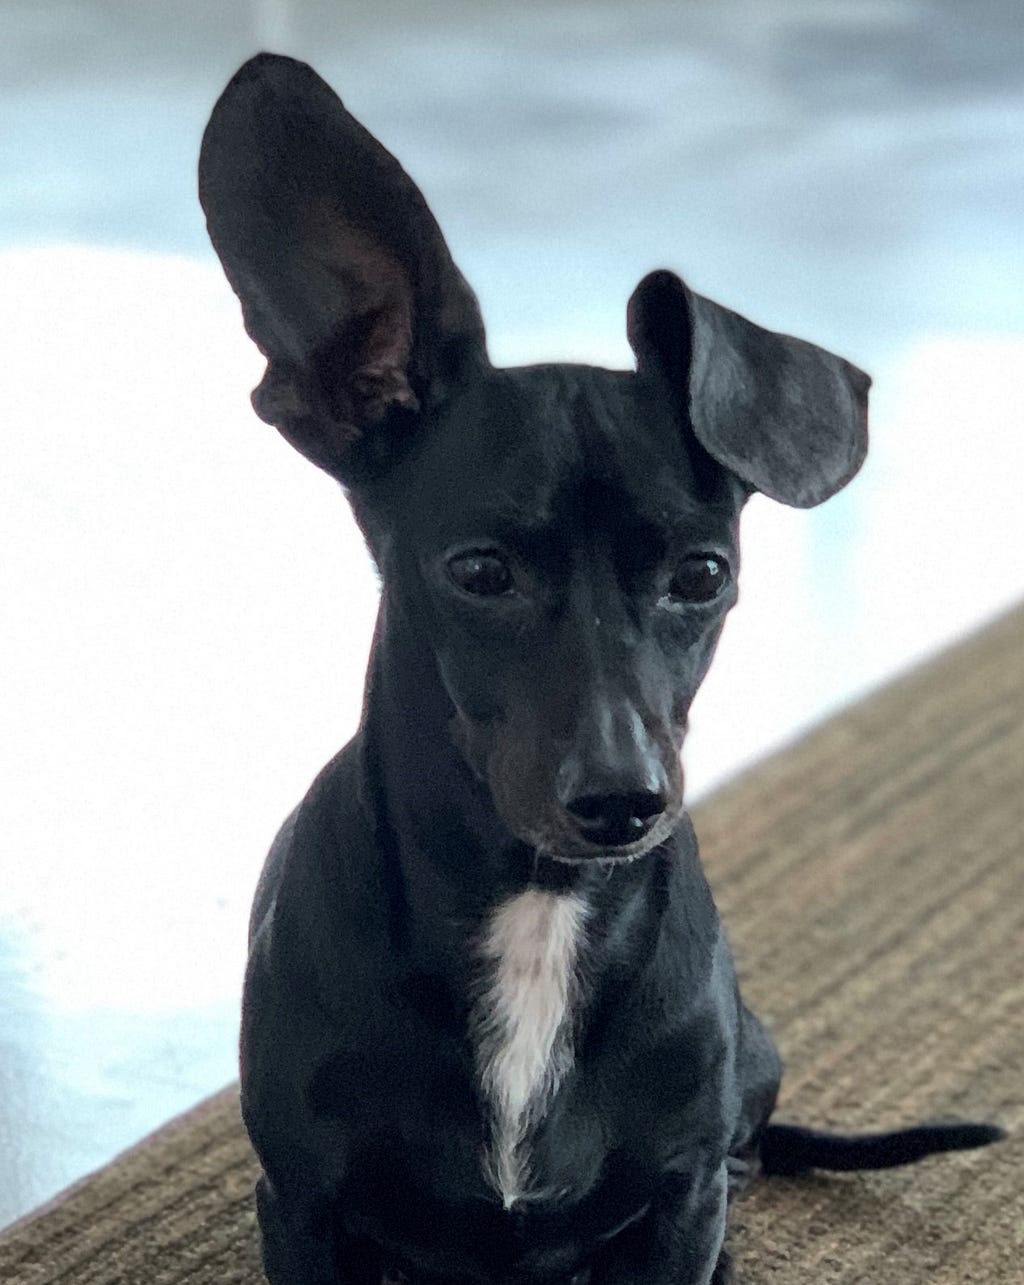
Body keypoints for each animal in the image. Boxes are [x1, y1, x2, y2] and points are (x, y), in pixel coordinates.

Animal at [197, 52, 997, 1285]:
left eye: (702, 573)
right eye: (479, 570)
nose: (623, 801)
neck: (537, 914)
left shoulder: (675, 1204)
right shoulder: (303, 1205)